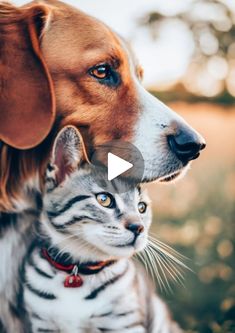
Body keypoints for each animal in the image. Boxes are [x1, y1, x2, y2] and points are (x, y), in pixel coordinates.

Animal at [20, 125, 182, 332]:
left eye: (141, 207)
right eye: (104, 199)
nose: (138, 228)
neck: (77, 271)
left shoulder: (124, 323)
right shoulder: (43, 323)